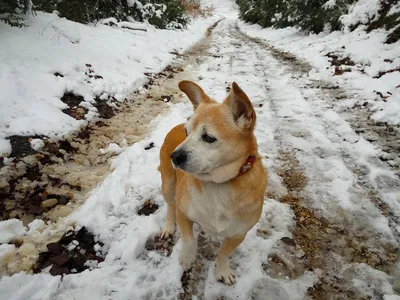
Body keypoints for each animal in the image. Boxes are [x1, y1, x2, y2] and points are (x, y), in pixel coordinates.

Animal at [158, 81, 268, 284]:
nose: (174, 156)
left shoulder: (239, 233)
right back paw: (169, 226)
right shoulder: (183, 213)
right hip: (168, 185)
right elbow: (189, 240)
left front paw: (222, 270)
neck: (217, 184)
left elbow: (224, 254)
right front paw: (187, 258)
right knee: (170, 205)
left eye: (208, 138)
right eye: (187, 132)